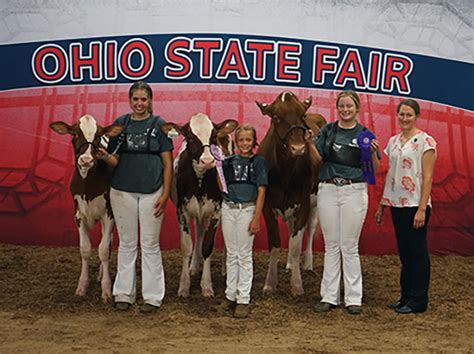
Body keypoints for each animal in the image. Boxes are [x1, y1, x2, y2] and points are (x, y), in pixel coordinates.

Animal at [49, 115, 123, 302]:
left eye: (98, 136)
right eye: (74, 134)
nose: (86, 160)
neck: (88, 187)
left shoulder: (109, 214)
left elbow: (103, 250)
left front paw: (106, 289)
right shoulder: (78, 215)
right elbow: (85, 249)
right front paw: (82, 287)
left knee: (107, 243)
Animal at [162, 113, 239, 296]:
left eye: (213, 137)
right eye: (190, 137)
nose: (207, 161)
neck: (200, 182)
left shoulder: (216, 211)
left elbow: (208, 246)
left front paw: (207, 286)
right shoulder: (182, 211)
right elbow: (187, 246)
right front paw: (184, 286)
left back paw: (225, 268)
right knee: (198, 230)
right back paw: (194, 266)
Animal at [256, 91, 326, 296]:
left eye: (302, 115)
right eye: (275, 117)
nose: (298, 148)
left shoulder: (303, 202)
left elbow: (296, 244)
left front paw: (296, 285)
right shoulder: (267, 204)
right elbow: (275, 242)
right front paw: (270, 284)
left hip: (315, 201)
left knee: (309, 229)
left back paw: (307, 264)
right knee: (291, 225)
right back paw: (288, 264)